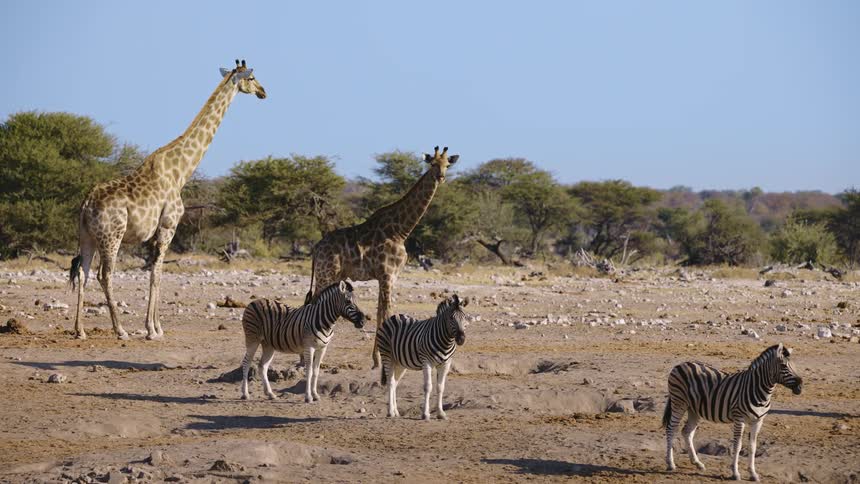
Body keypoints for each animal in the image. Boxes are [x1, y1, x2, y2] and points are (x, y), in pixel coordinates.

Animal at [69, 59, 266, 340]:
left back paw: (80, 331)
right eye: (251, 78)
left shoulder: (156, 233)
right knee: (104, 275)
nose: (263, 92)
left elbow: (154, 273)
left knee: (83, 273)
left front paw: (154, 326)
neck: (180, 171)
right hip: (112, 236)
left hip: (87, 236)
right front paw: (153, 329)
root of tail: (86, 204)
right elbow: (157, 274)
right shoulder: (168, 227)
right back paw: (120, 330)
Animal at [306, 146, 460, 367]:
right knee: (312, 306)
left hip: (331, 276)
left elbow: (380, 313)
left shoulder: (389, 277)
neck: (401, 230)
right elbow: (386, 312)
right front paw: (382, 359)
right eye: (432, 164)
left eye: (447, 164)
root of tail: (317, 248)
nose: (441, 177)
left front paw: (376, 358)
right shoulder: (387, 275)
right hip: (325, 274)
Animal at [662, 343, 803, 481]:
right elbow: (738, 446)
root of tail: (680, 364)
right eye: (784, 366)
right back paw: (670, 463)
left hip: (694, 409)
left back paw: (697, 463)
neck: (760, 391)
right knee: (671, 429)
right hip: (679, 402)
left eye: (794, 365)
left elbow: (752, 447)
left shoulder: (758, 421)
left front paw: (753, 474)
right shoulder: (739, 419)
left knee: (686, 432)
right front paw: (735, 473)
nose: (800, 387)